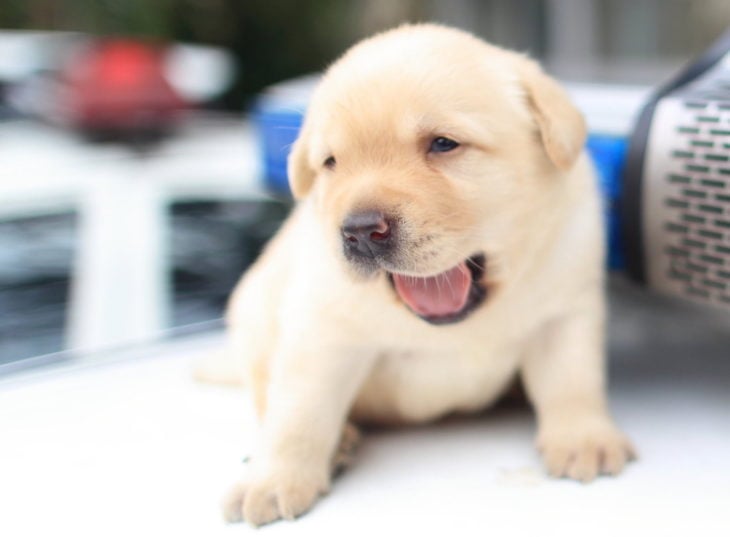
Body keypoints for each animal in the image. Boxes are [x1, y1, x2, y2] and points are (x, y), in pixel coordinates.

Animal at [215, 24, 632, 524]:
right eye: (331, 163)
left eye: (443, 144)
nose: (359, 231)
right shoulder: (321, 332)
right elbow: (298, 412)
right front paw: (273, 478)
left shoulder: (565, 312)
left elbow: (573, 381)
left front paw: (583, 438)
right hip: (254, 315)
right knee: (263, 390)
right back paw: (342, 440)